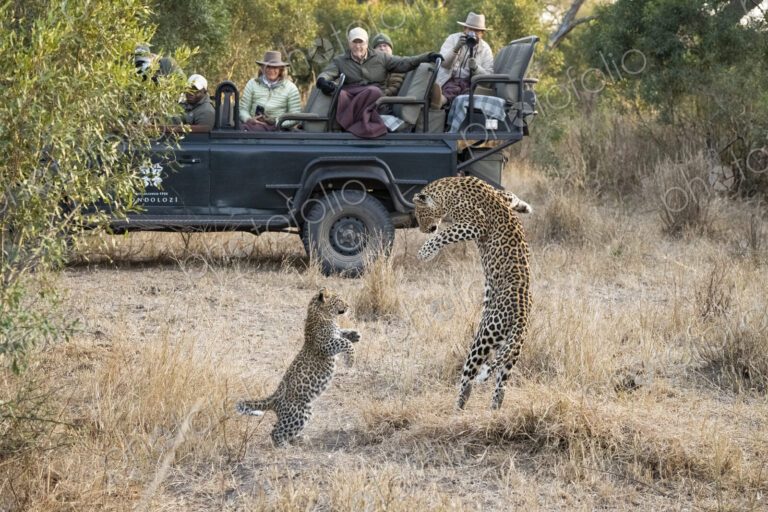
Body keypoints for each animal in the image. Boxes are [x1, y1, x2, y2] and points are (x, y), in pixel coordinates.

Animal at [236, 288, 361, 447]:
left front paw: (355, 335)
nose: (348, 305)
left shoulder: (334, 336)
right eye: (339, 300)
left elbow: (342, 333)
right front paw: (350, 360)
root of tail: (274, 398)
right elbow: (345, 342)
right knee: (275, 431)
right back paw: (283, 446)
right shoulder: (325, 345)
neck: (321, 314)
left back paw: (298, 438)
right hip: (301, 411)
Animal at [413, 176, 532, 410]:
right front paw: (524, 206)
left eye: (420, 215)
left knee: (469, 377)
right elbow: (511, 196)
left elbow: (445, 234)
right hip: (513, 348)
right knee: (501, 384)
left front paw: (425, 252)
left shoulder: (475, 225)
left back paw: (457, 408)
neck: (449, 190)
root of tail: (523, 312)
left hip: (483, 337)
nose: (423, 230)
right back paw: (493, 412)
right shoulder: (501, 197)